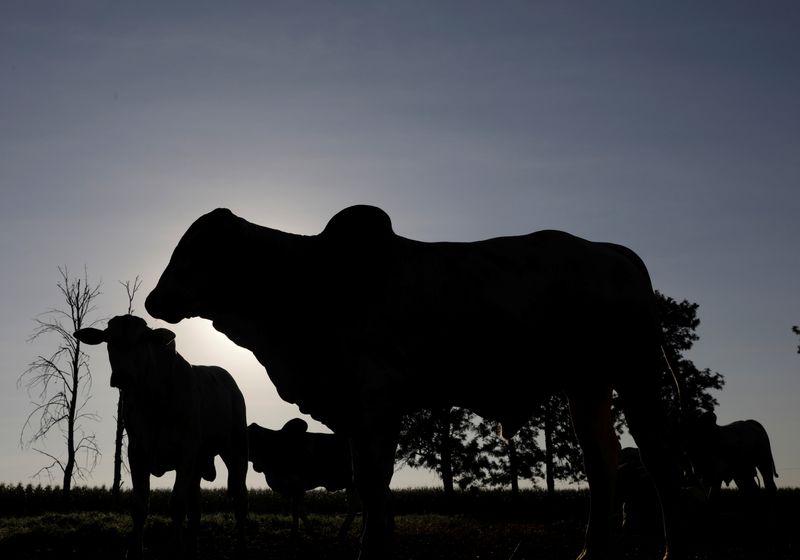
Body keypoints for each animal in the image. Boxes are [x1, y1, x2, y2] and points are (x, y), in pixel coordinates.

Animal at [76, 318, 250, 556]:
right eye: (108, 340)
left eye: (142, 339)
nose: (123, 376)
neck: (152, 402)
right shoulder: (137, 452)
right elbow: (140, 506)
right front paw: (135, 551)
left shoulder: (186, 451)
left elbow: (177, 505)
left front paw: (176, 549)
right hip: (199, 463)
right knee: (196, 509)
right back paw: (192, 549)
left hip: (235, 449)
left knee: (240, 499)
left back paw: (241, 546)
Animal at [147, 206, 684, 560]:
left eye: (195, 250)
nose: (153, 299)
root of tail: (611, 251)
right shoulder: (354, 411)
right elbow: (370, 486)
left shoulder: (374, 401)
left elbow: (372, 481)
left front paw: (371, 553)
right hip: (586, 385)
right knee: (601, 460)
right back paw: (592, 552)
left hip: (637, 375)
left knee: (657, 453)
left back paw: (670, 552)